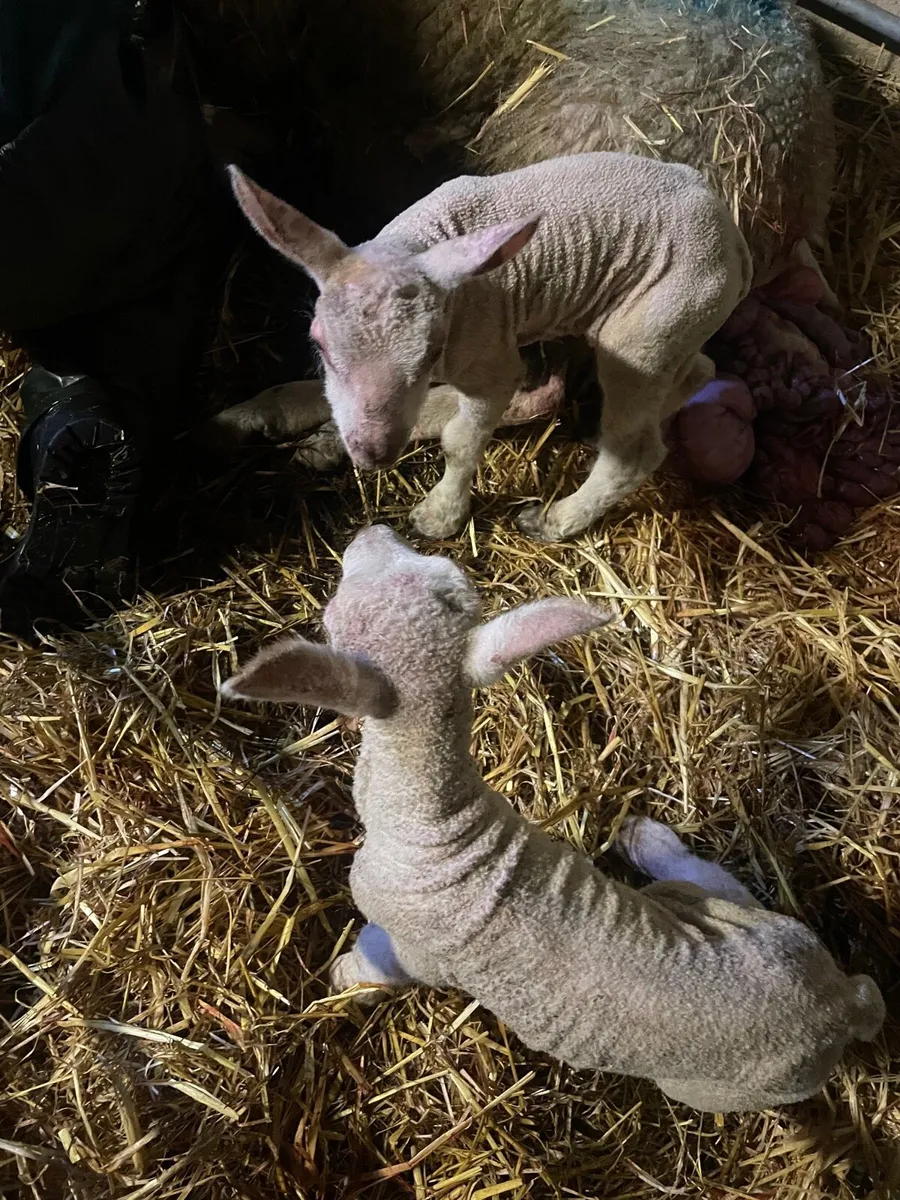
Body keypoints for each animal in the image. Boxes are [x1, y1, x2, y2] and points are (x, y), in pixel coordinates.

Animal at [221, 523, 885, 1114]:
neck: (434, 820)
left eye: (340, 609)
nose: (370, 531)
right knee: (715, 882)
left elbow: (378, 962)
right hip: (756, 925)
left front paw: (343, 977)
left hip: (719, 1085)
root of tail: (839, 1005)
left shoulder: (410, 944)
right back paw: (646, 839)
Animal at [225, 153, 753, 541]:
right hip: (677, 324)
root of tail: (733, 235)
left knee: (633, 448)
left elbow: (462, 438)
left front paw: (439, 517)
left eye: (430, 351)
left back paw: (556, 519)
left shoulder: (486, 354)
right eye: (319, 343)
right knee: (697, 372)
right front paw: (260, 413)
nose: (374, 454)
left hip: (652, 324)